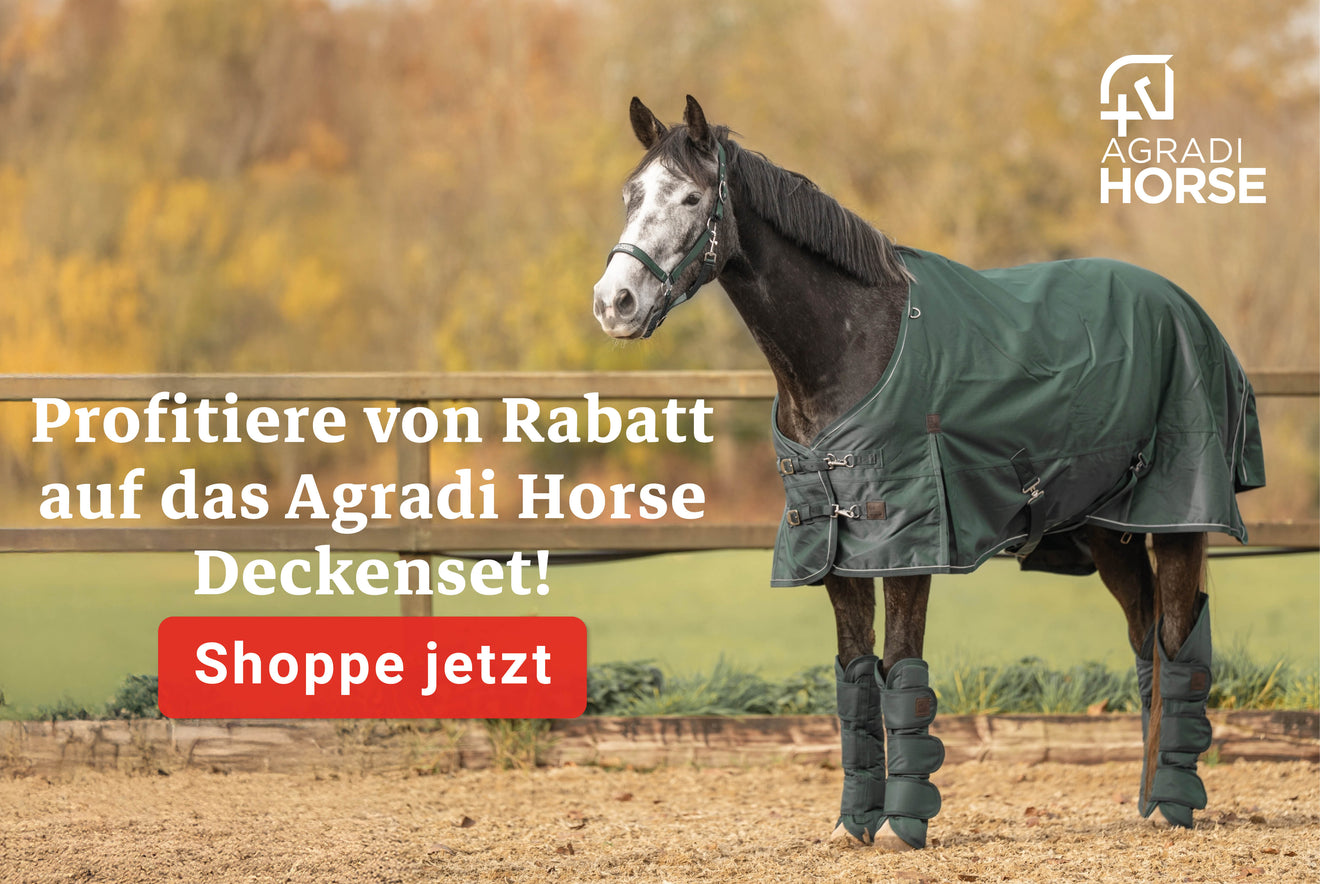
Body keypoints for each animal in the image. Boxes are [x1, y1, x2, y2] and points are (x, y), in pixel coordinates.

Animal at [592, 96, 1265, 852]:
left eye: (690, 197)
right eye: (630, 195)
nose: (614, 303)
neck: (852, 345)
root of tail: (1186, 309)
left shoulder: (908, 542)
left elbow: (901, 673)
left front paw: (902, 825)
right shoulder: (834, 549)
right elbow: (856, 680)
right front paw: (853, 824)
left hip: (1177, 517)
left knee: (1178, 643)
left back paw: (1173, 806)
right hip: (1108, 530)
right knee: (1146, 641)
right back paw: (1147, 803)